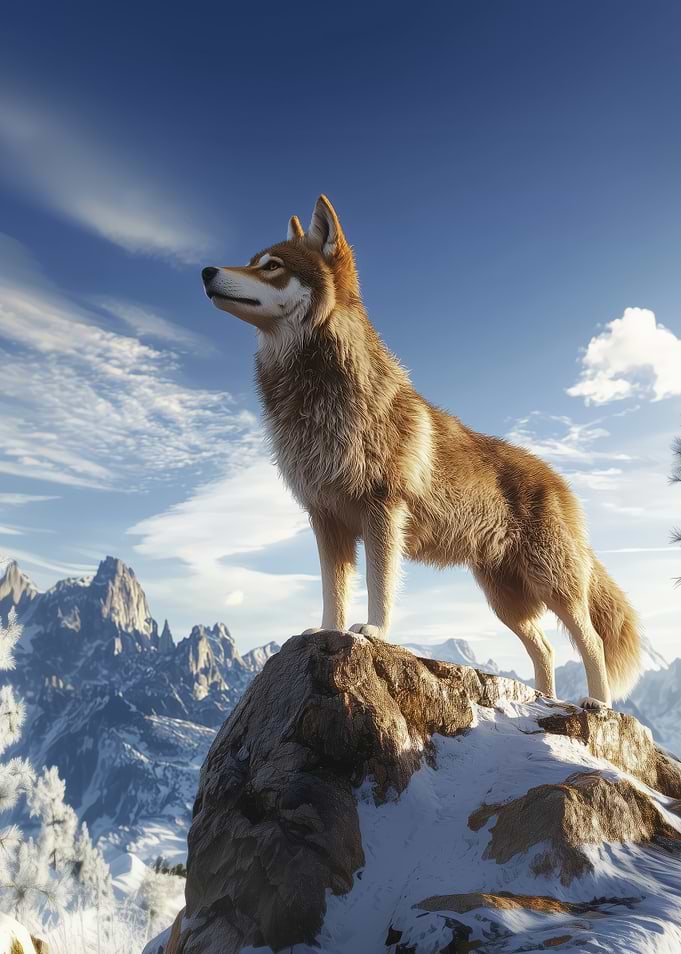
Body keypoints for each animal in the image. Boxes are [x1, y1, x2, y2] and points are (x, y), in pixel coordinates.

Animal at [202, 195, 640, 707]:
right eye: (253, 261)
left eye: (271, 266)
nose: (206, 271)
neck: (317, 401)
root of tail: (560, 480)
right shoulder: (325, 519)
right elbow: (334, 592)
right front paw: (325, 630)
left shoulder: (383, 512)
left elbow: (379, 583)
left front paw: (374, 631)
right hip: (506, 600)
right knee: (546, 648)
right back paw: (543, 701)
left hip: (553, 585)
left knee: (589, 639)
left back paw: (597, 704)